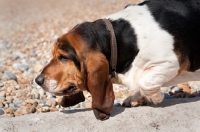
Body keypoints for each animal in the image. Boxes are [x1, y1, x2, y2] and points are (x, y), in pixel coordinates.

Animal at [35, 0, 200, 119]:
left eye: (63, 57)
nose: (38, 80)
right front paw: (138, 98)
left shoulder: (171, 62)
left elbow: (145, 82)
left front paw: (156, 97)